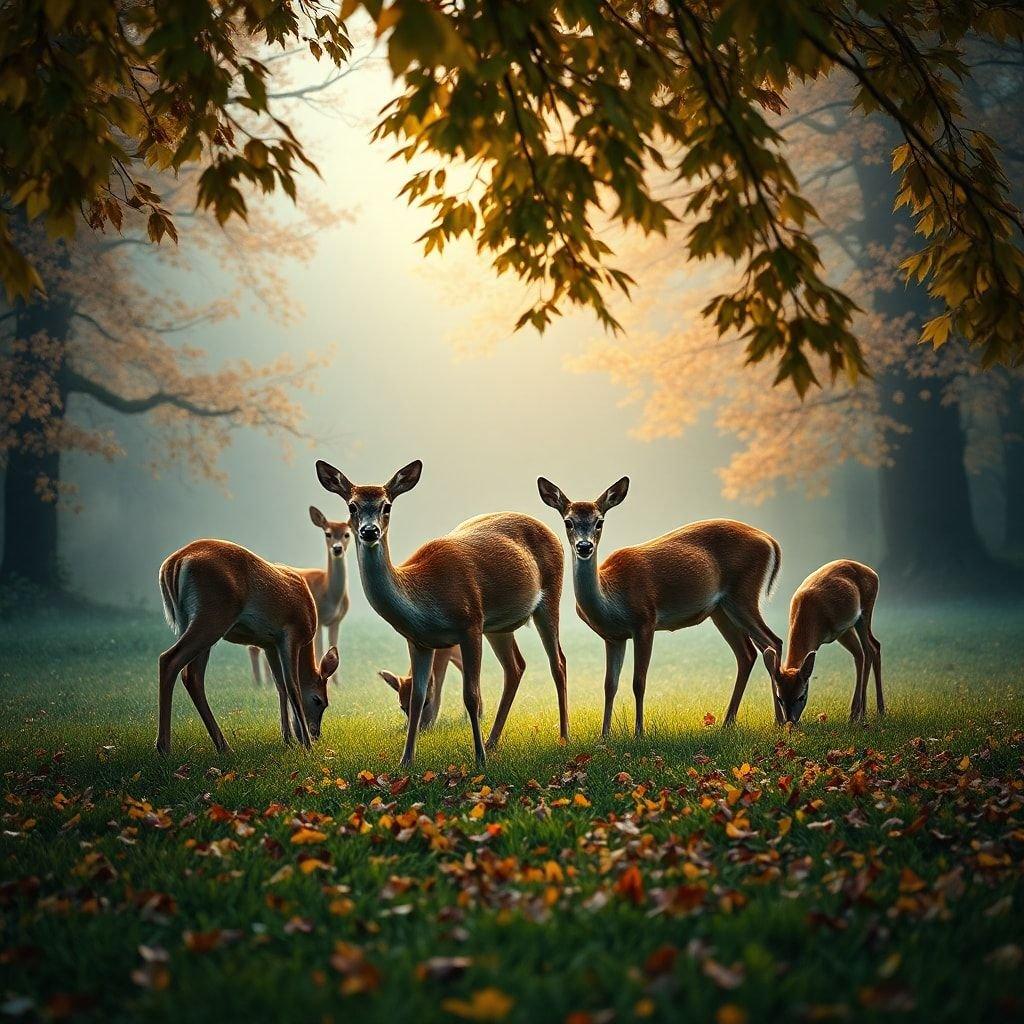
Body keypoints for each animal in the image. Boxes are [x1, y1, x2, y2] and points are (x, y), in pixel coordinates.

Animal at [157, 540, 337, 757]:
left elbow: (280, 686)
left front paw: (288, 739)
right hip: (213, 616)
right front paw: (306, 745)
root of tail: (174, 563)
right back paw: (165, 748)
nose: (315, 733)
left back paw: (222, 746)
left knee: (191, 675)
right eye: (319, 701)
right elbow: (292, 686)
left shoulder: (269, 644)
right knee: (169, 660)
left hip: (189, 622)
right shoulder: (290, 634)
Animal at [250, 505, 352, 684]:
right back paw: (259, 684)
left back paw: (266, 683)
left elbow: (333, 645)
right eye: (327, 533)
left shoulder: (336, 620)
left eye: (347, 534)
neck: (328, 593)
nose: (337, 548)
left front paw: (337, 683)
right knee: (254, 647)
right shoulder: (317, 621)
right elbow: (319, 650)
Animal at [315, 460, 565, 765]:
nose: (370, 531)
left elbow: (471, 695)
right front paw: (405, 761)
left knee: (558, 663)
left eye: (387, 506)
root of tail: (551, 531)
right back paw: (493, 741)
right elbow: (417, 697)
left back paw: (562, 737)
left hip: (550, 596)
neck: (423, 598)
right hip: (498, 627)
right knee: (516, 666)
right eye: (352, 506)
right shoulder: (419, 641)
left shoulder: (470, 623)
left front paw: (479, 759)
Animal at [536, 475, 782, 733]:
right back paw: (729, 723)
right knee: (748, 654)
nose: (584, 546)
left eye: (599, 521)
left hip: (743, 594)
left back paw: (780, 721)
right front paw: (604, 736)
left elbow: (639, 682)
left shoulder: (645, 620)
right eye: (568, 522)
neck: (610, 603)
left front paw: (639, 733)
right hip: (721, 610)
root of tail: (770, 541)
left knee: (773, 643)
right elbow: (609, 685)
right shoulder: (613, 637)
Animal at [761, 561, 880, 729]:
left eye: (801, 696)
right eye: (780, 698)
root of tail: (873, 573)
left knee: (869, 649)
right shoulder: (842, 630)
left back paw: (866, 713)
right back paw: (867, 712)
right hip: (854, 624)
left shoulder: (840, 628)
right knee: (867, 650)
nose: (791, 720)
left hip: (864, 612)